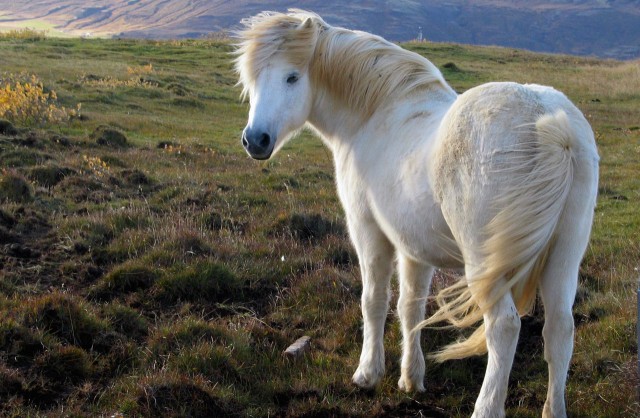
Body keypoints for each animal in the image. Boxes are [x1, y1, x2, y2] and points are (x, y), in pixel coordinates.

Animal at [235, 9, 600, 418]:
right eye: (253, 78)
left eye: (292, 77)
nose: (255, 140)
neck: (376, 115)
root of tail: (552, 124)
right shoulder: (414, 246)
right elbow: (410, 307)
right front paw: (411, 379)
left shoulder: (368, 231)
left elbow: (374, 301)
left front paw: (368, 373)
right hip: (563, 258)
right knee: (560, 329)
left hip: (484, 264)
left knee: (504, 328)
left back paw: (485, 407)